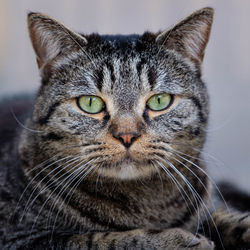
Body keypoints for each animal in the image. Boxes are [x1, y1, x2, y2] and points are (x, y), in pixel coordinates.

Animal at [0, 6, 250, 249]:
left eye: (159, 100)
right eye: (90, 103)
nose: (127, 135)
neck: (149, 203)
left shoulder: (211, 204)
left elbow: (231, 217)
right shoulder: (22, 238)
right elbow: (103, 239)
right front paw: (178, 240)